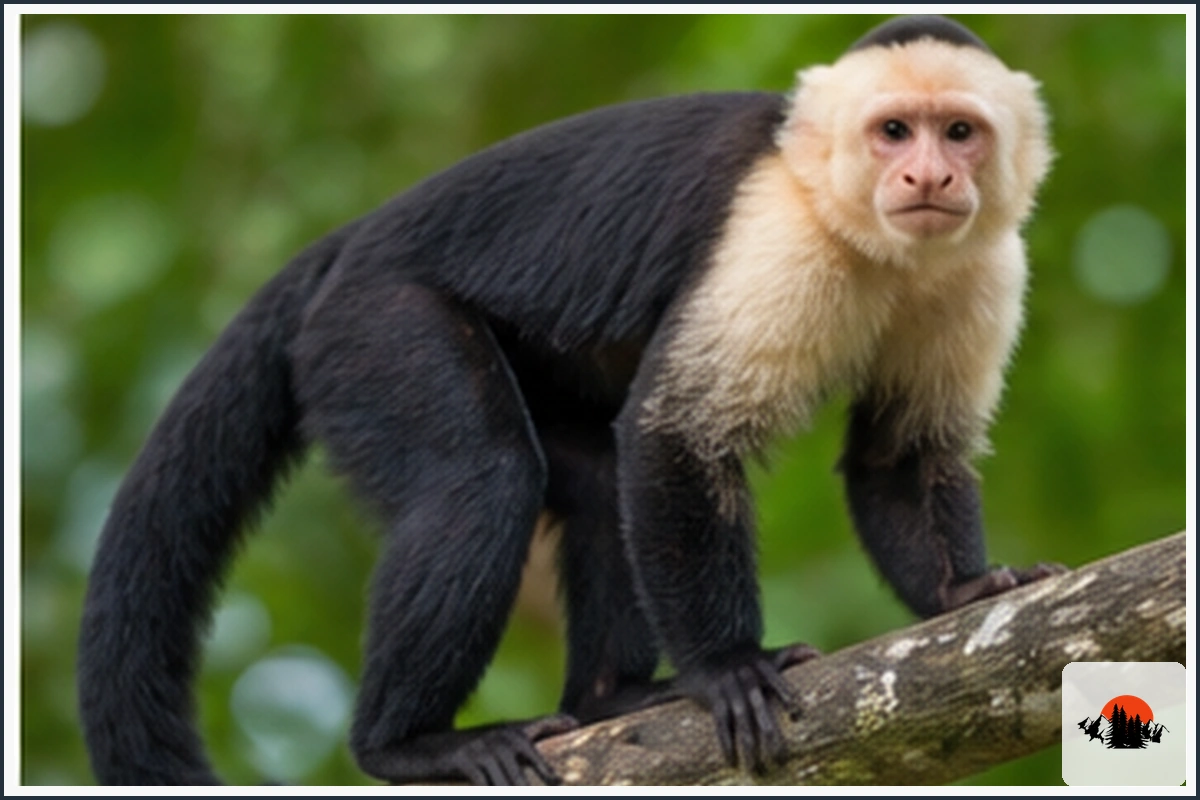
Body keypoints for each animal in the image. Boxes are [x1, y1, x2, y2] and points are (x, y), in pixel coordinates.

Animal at [78, 15, 1059, 786]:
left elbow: (898, 454)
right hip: (370, 325)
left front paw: (963, 587)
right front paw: (729, 666)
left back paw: (608, 696)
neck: (855, 226)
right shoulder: (775, 232)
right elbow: (675, 434)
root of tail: (353, 240)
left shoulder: (982, 267)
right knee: (482, 478)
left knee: (591, 478)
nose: (927, 178)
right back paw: (407, 745)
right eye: (894, 131)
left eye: (959, 132)